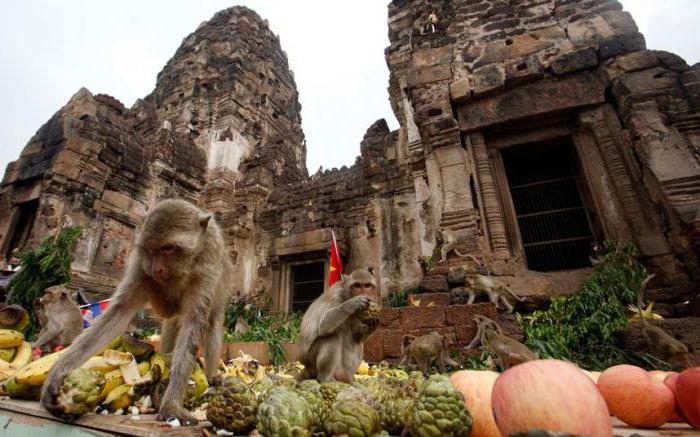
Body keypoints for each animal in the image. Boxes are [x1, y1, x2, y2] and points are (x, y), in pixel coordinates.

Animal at [40, 199, 232, 424]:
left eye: (167, 248)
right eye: (151, 249)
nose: (157, 270)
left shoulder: (207, 268)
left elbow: (194, 322)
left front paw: (171, 404)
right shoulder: (140, 264)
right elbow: (119, 311)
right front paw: (57, 375)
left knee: (212, 322)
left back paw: (210, 377)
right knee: (171, 321)